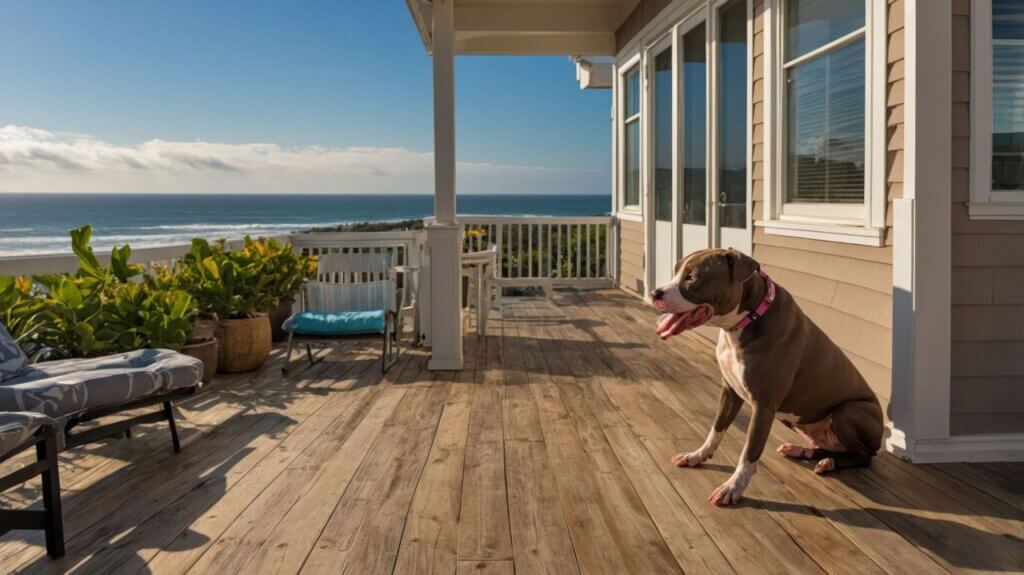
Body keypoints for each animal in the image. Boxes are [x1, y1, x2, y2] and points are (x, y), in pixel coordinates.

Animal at [651, 248, 884, 503]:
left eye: (692, 277)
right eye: (676, 270)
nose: (654, 292)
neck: (746, 320)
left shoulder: (763, 406)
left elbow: (749, 452)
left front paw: (732, 487)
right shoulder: (730, 391)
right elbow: (716, 429)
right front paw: (697, 455)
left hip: (848, 411)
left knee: (865, 456)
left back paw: (829, 463)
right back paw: (803, 450)